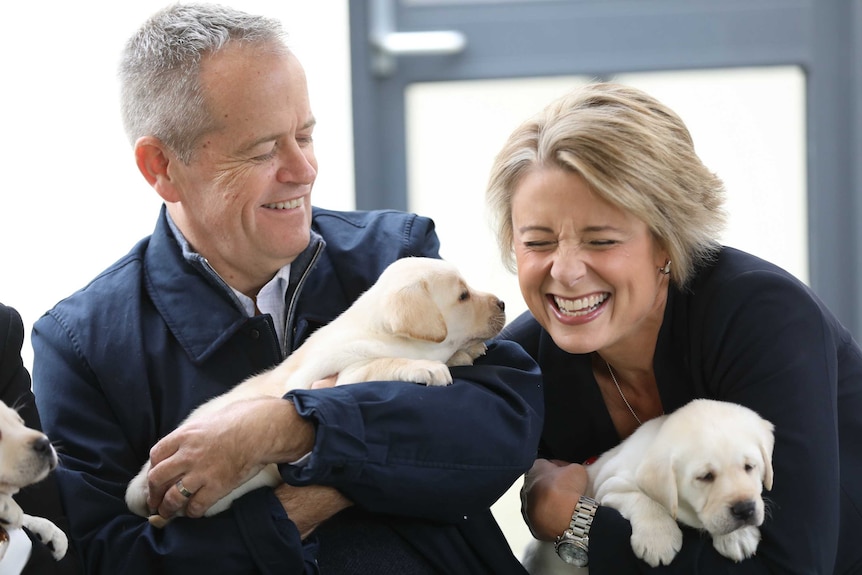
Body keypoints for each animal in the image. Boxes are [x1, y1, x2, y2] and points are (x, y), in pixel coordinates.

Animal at [127, 258, 506, 524]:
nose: (502, 302)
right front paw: (428, 366)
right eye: (463, 296)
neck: (382, 330)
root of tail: (142, 482)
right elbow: (384, 363)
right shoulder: (343, 375)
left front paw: (464, 353)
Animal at [524, 398, 780, 572]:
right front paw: (659, 541)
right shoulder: (610, 486)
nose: (745, 510)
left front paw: (738, 536)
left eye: (750, 466)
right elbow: (645, 500)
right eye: (705, 476)